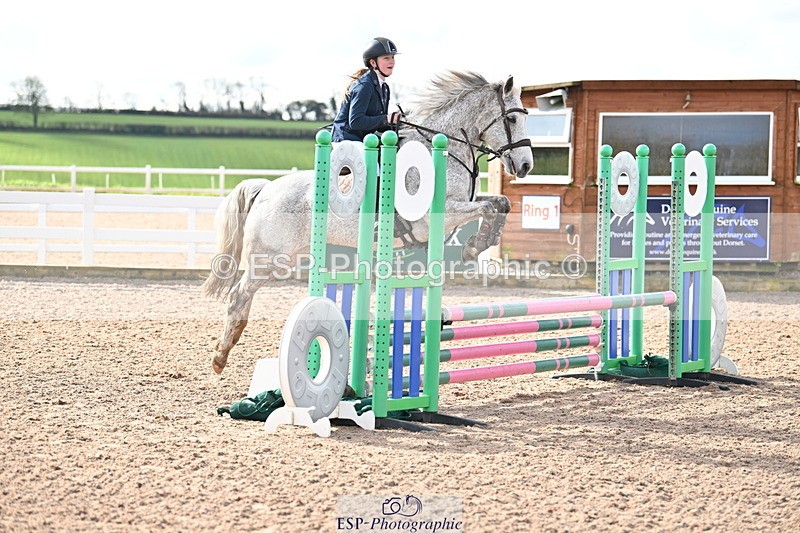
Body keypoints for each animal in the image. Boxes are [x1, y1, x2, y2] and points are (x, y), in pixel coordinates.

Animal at [202, 70, 534, 374]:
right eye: (512, 120)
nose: (526, 166)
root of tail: (266, 188)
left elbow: (499, 204)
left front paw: (479, 243)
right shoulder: (436, 216)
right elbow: (490, 206)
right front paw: (474, 246)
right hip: (270, 258)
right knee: (239, 295)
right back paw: (220, 356)